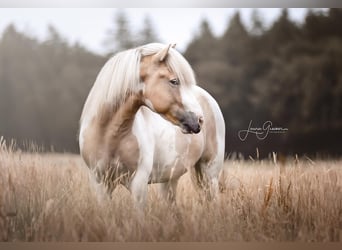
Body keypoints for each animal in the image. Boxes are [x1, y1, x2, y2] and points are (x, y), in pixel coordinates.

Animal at [79, 43, 226, 207]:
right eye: (174, 81)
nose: (199, 120)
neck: (108, 135)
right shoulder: (100, 184)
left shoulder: (138, 183)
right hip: (170, 180)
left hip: (209, 174)